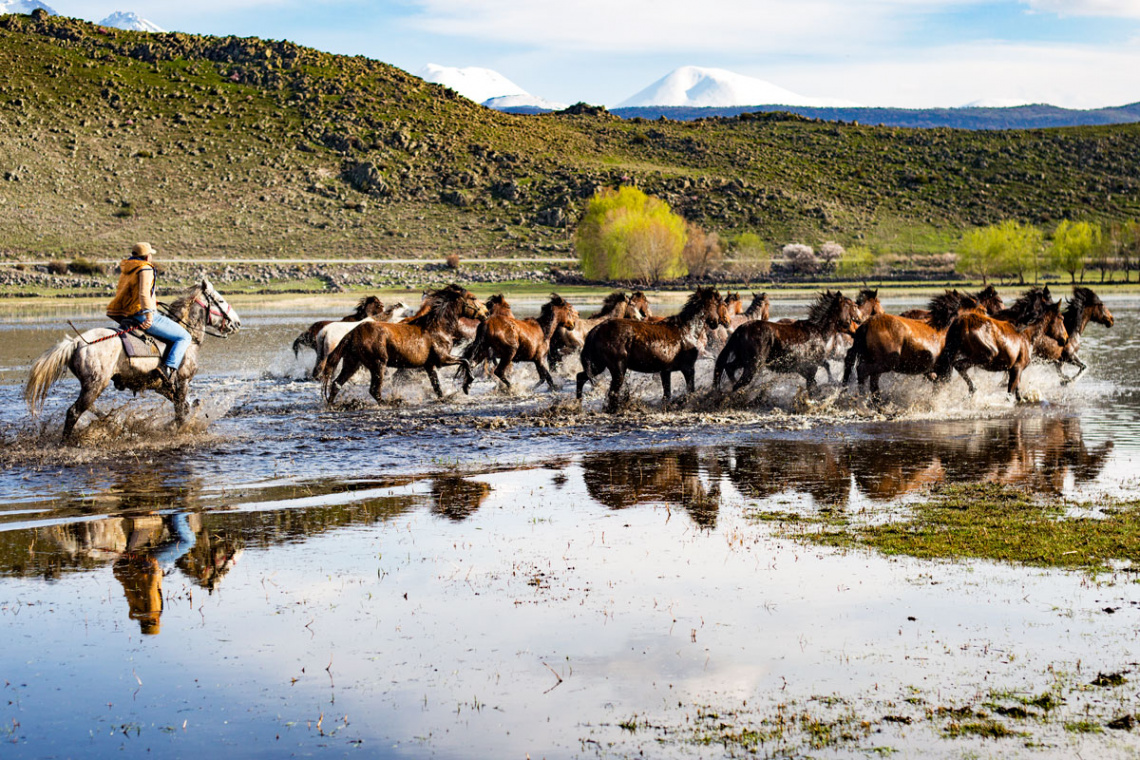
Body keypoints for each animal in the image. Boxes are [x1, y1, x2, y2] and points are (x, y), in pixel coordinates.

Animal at [23, 278, 240, 442]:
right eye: (220, 300)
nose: (237, 323)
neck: (188, 336)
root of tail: (77, 342)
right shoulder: (183, 380)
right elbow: (180, 410)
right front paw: (180, 431)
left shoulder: (161, 385)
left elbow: (183, 406)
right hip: (95, 384)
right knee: (74, 412)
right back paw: (67, 442)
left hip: (91, 386)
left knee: (88, 408)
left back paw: (114, 424)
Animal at [319, 283, 487, 403]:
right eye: (473, 298)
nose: (485, 313)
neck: (438, 327)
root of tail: (352, 333)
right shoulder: (442, 359)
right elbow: (465, 361)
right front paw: (467, 385)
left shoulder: (429, 365)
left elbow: (436, 385)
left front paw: (444, 397)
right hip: (378, 364)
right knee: (374, 390)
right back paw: (393, 402)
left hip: (352, 363)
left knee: (336, 384)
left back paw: (331, 404)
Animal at [579, 288, 729, 412]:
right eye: (720, 304)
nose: (720, 322)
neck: (688, 329)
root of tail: (597, 328)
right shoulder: (688, 368)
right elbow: (690, 390)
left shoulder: (665, 371)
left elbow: (667, 394)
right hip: (617, 369)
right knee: (612, 393)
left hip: (598, 365)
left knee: (580, 377)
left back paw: (578, 403)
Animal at [711, 291, 861, 396]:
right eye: (853, 305)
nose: (859, 321)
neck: (819, 331)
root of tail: (739, 329)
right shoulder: (810, 368)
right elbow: (815, 385)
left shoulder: (807, 368)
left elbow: (821, 375)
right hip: (753, 365)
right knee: (738, 384)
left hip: (742, 361)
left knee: (729, 368)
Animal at [843, 289, 984, 401]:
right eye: (982, 310)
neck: (945, 328)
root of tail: (865, 325)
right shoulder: (945, 368)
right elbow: (938, 387)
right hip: (885, 363)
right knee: (862, 371)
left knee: (871, 381)